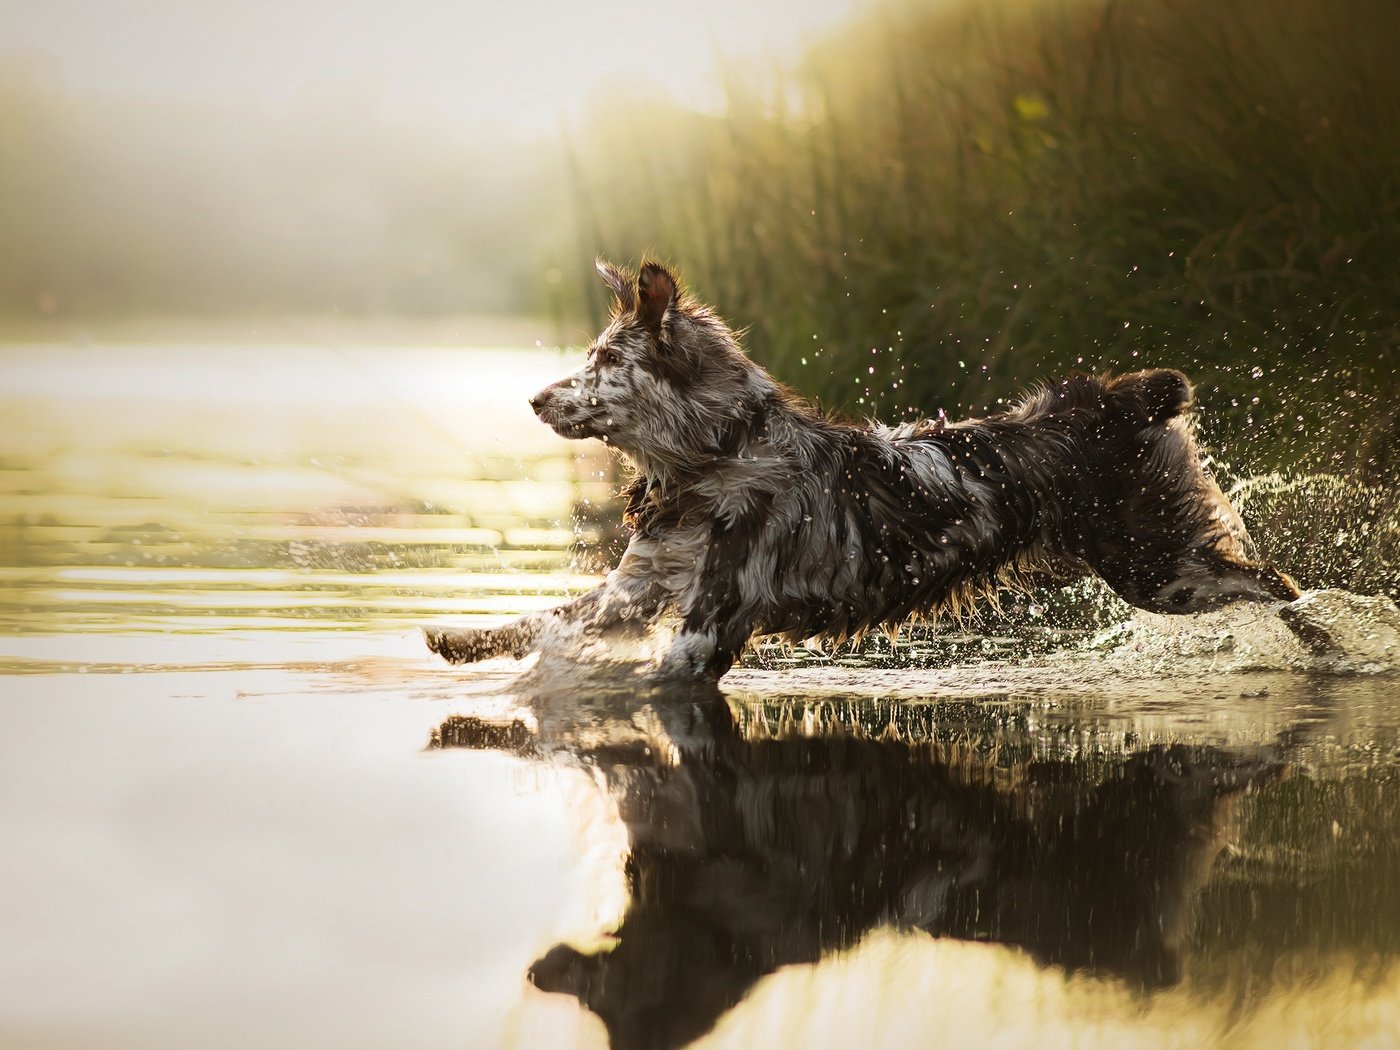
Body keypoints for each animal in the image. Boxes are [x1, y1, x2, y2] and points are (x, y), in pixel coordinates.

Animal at [425, 259, 1299, 677]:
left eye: (606, 360)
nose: (535, 398)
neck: (720, 456)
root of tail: (1113, 401)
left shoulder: (709, 624)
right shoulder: (635, 590)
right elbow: (539, 620)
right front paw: (458, 639)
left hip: (1160, 570)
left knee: (1277, 583)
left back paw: (1322, 644)